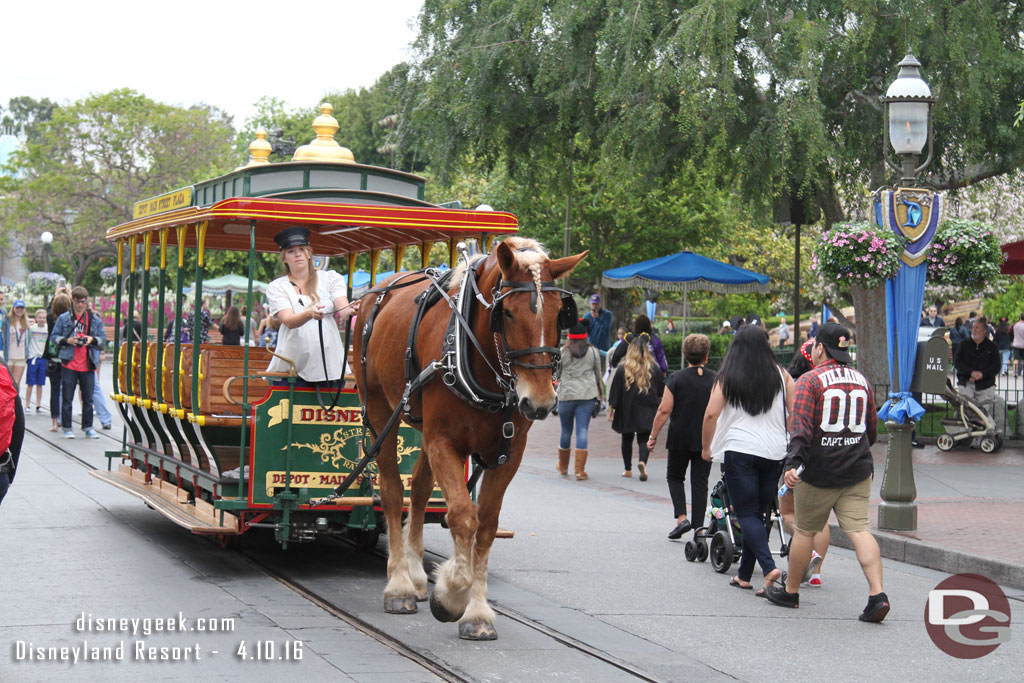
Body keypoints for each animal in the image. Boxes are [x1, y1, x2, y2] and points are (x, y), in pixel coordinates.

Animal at [356, 236, 589, 643]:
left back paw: (416, 575)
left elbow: (487, 524)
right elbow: (463, 515)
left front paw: (477, 611)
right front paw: (451, 595)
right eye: (506, 313)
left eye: (561, 313)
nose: (541, 402)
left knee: (419, 488)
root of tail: (377, 293)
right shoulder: (444, 441)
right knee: (392, 491)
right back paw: (399, 585)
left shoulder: (508, 452)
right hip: (382, 414)